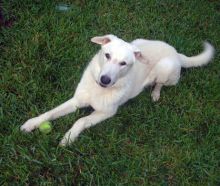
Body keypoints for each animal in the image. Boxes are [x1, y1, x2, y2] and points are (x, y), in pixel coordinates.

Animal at [20, 34, 213, 145]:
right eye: (107, 55)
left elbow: (80, 120)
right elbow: (51, 112)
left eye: (123, 64)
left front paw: (68, 138)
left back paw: (155, 93)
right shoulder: (76, 101)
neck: (98, 90)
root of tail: (176, 52)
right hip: (139, 42)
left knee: (160, 83)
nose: (105, 80)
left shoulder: (106, 113)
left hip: (166, 67)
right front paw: (32, 123)